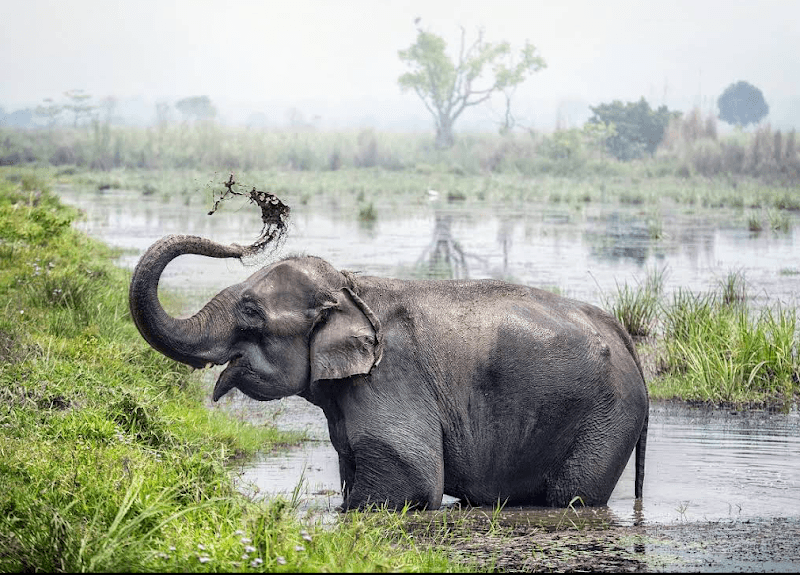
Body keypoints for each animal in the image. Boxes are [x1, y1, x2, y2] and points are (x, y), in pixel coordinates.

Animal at [129, 234, 649, 510]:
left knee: (574, 498)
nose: (244, 243)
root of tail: (623, 335)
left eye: (252, 311)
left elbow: (412, 478)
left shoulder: (390, 377)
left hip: (606, 419)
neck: (351, 285)